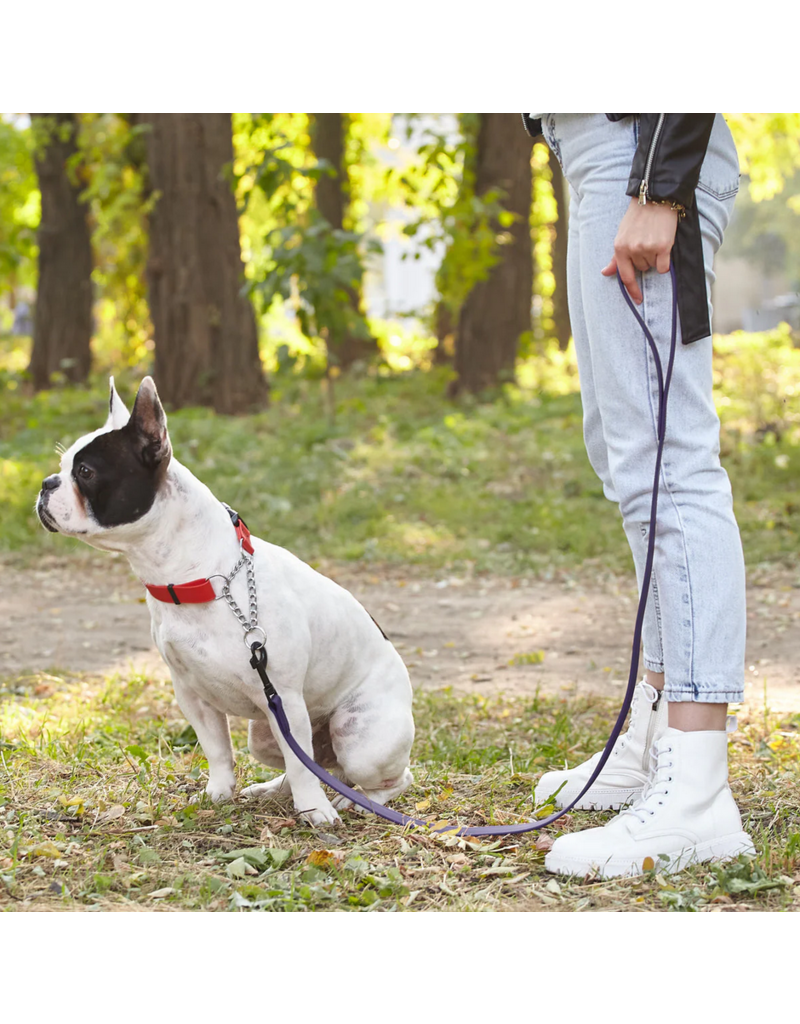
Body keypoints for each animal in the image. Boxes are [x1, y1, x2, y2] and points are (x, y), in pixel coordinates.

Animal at [35, 376, 415, 823]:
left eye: (85, 472)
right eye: (62, 467)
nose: (46, 483)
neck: (196, 578)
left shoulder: (284, 697)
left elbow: (299, 768)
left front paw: (314, 811)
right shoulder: (193, 694)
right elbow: (217, 749)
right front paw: (218, 792)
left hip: (359, 740)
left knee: (382, 777)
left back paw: (356, 801)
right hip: (266, 735)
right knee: (313, 763)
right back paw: (272, 789)